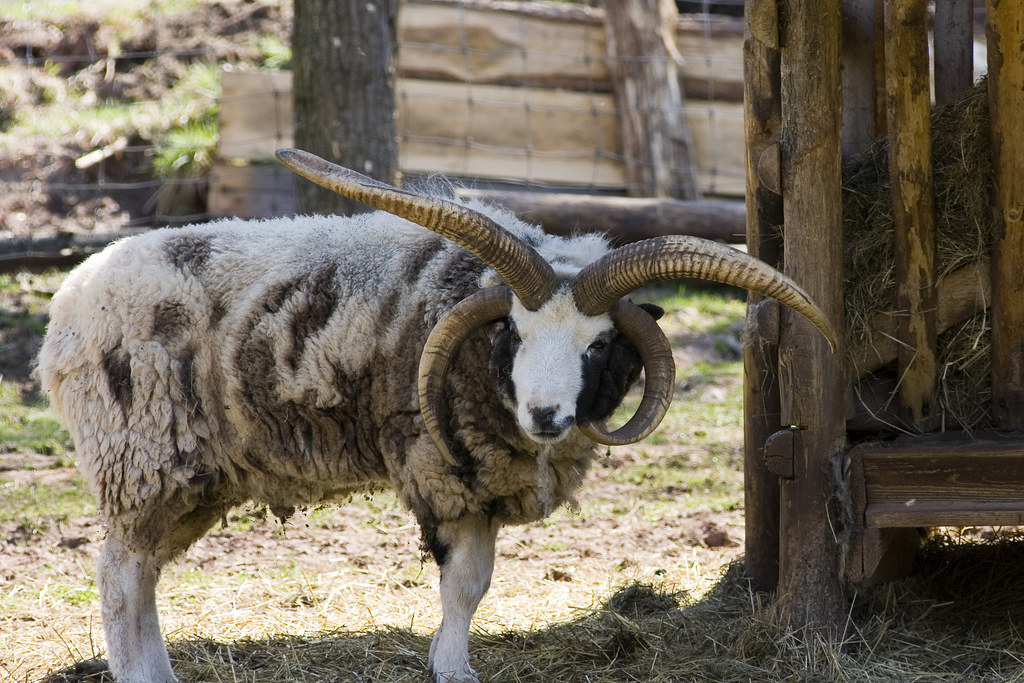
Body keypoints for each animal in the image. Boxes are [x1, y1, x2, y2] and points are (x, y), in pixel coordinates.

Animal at [36, 148, 836, 683]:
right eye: (513, 331)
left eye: (600, 343)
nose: (547, 414)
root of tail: (64, 308)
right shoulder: (444, 470)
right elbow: (463, 583)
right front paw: (453, 668)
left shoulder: (483, 479)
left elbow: (478, 584)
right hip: (140, 456)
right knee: (118, 574)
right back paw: (141, 673)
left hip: (190, 474)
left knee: (141, 573)